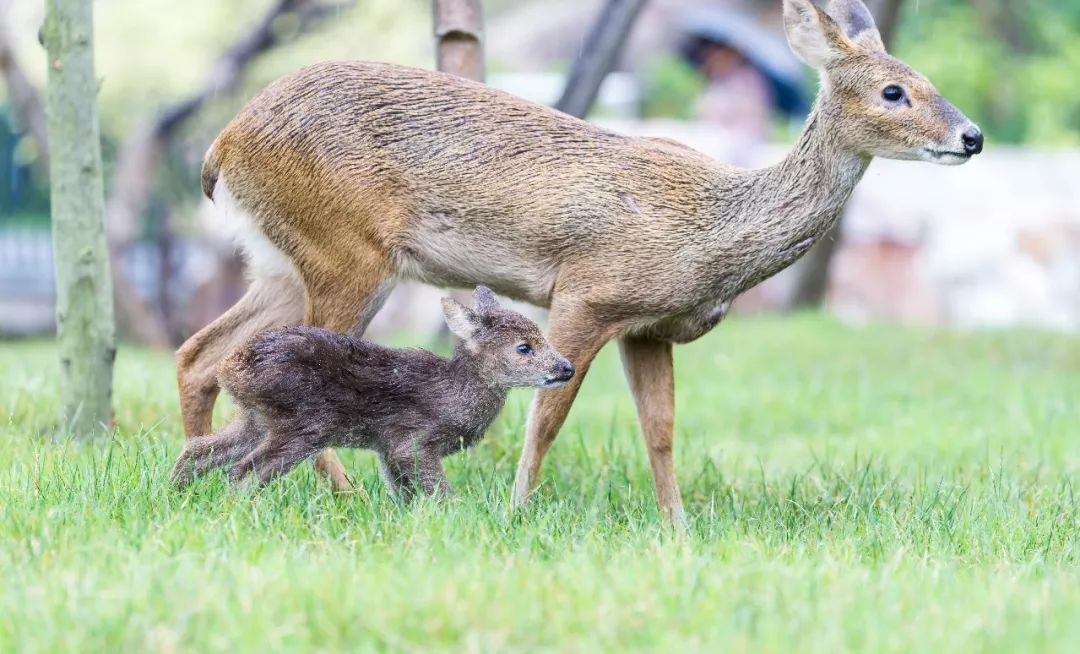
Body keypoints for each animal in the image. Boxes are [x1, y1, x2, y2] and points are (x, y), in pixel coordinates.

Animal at [179, 0, 989, 522]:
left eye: (930, 82)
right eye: (895, 90)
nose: (972, 136)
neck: (715, 227)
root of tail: (223, 145)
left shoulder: (651, 327)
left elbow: (660, 432)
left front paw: (676, 530)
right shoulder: (588, 293)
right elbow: (546, 417)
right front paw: (516, 512)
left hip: (282, 260)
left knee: (202, 353)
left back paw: (194, 472)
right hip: (346, 253)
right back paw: (341, 494)